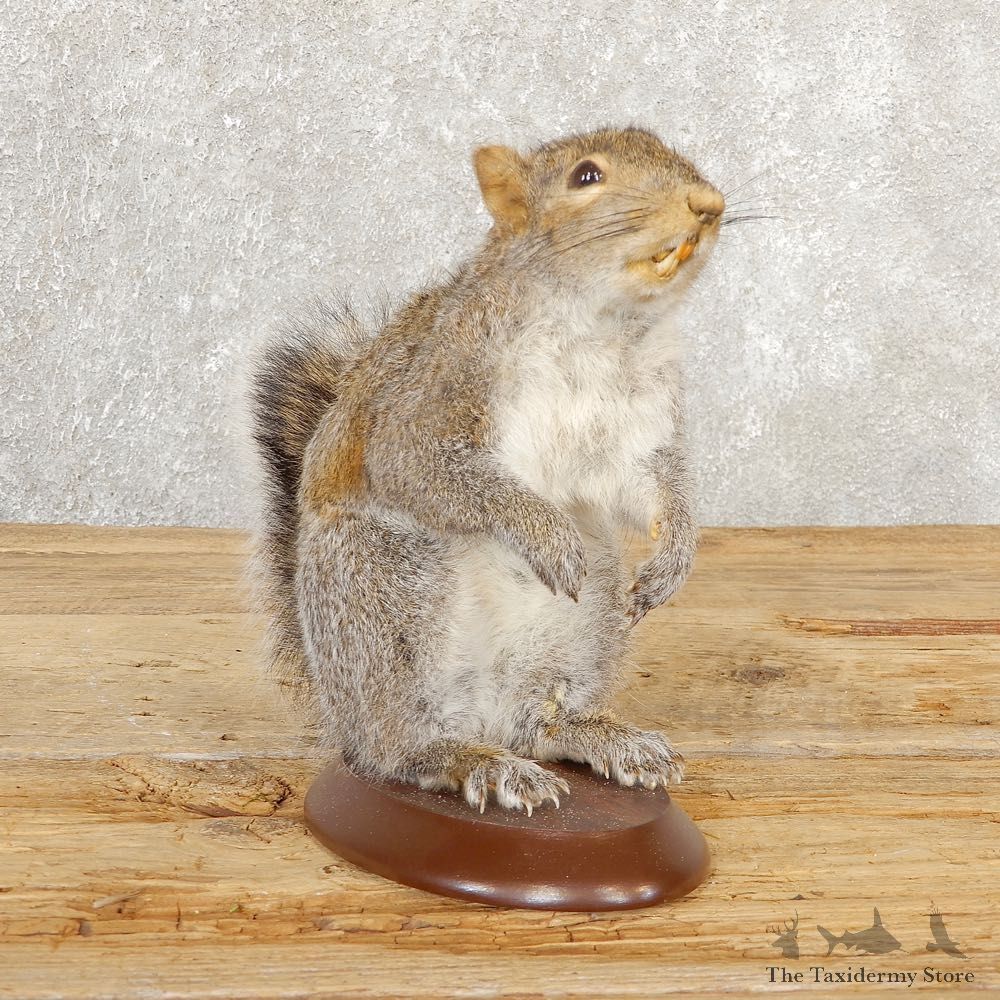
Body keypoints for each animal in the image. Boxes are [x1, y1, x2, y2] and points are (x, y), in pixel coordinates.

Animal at [248, 126, 724, 813]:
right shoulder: (433, 389)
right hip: (384, 591)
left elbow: (650, 487)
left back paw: (599, 737)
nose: (708, 204)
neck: (599, 327)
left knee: (538, 724)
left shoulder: (641, 423)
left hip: (589, 614)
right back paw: (469, 761)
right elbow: (422, 466)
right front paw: (545, 535)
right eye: (586, 176)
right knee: (398, 750)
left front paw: (674, 559)